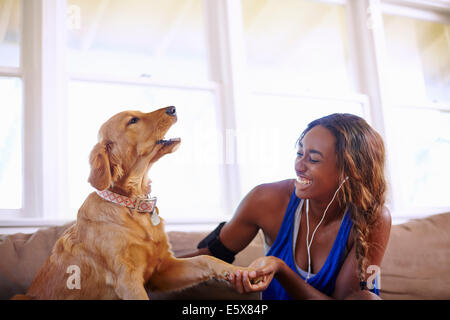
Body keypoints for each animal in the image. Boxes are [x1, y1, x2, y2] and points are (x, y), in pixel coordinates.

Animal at [14, 106, 256, 298]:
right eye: (133, 120)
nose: (173, 108)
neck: (132, 204)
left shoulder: (162, 270)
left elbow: (206, 259)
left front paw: (241, 272)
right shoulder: (127, 279)